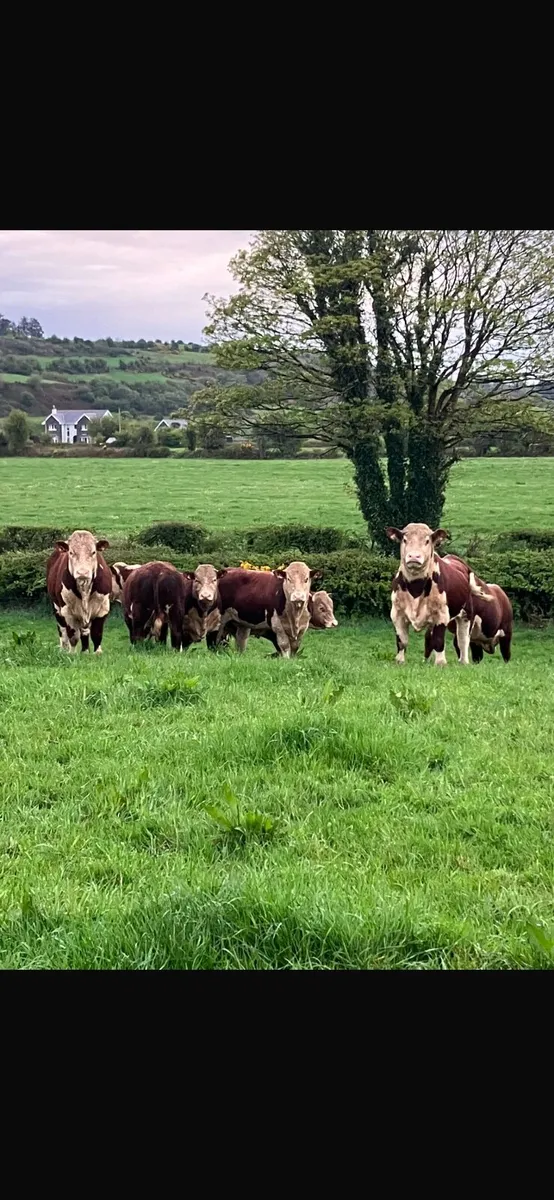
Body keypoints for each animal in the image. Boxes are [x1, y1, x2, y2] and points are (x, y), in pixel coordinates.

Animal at [385, 523, 492, 667]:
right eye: (405, 540)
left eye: (427, 541)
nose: (414, 556)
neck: (416, 588)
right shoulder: (397, 614)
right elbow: (402, 641)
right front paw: (400, 661)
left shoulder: (441, 615)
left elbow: (439, 641)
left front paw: (441, 663)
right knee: (428, 638)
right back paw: (426, 660)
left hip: (466, 614)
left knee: (463, 639)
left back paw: (463, 662)